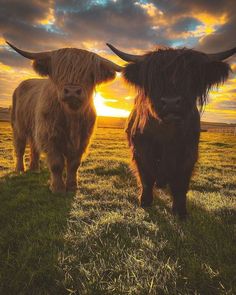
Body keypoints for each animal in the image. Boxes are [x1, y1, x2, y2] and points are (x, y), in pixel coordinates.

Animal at [7, 42, 121, 194]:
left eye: (90, 74)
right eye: (59, 71)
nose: (72, 91)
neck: (71, 116)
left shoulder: (83, 140)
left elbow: (74, 164)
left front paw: (72, 186)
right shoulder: (50, 137)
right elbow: (56, 163)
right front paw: (58, 188)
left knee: (34, 146)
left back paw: (35, 169)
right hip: (19, 126)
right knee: (19, 147)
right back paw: (20, 169)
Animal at [107, 44, 236, 220]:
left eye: (190, 75)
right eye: (154, 78)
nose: (171, 102)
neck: (166, 133)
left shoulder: (188, 153)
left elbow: (181, 184)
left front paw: (180, 211)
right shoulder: (140, 150)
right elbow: (146, 177)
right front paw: (145, 201)